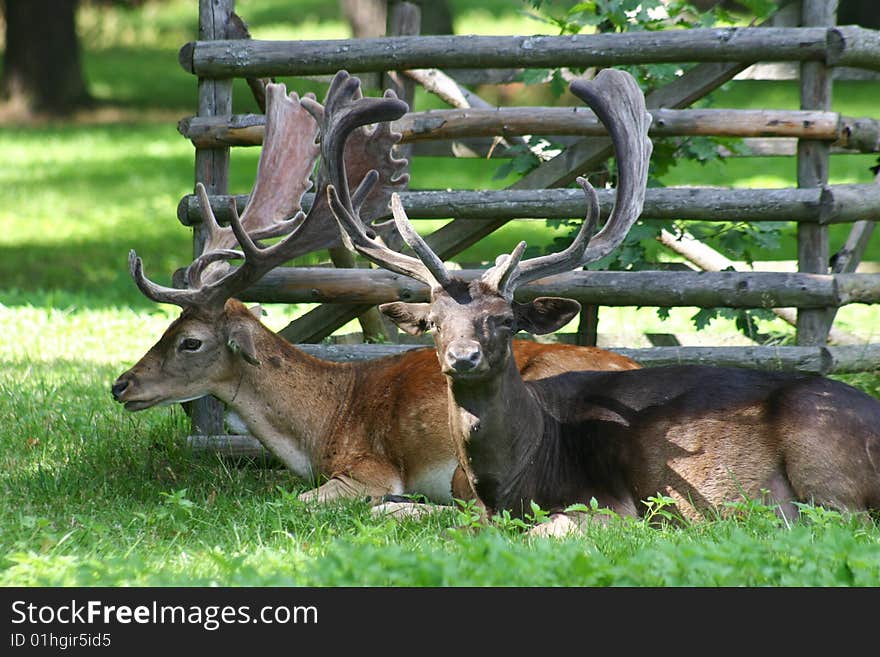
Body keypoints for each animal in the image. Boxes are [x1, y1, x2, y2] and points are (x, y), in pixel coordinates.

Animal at [330, 66, 880, 532]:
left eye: (506, 319)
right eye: (435, 321)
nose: (463, 357)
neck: (512, 481)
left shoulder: (611, 505)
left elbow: (552, 526)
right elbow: (386, 509)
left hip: (822, 454)